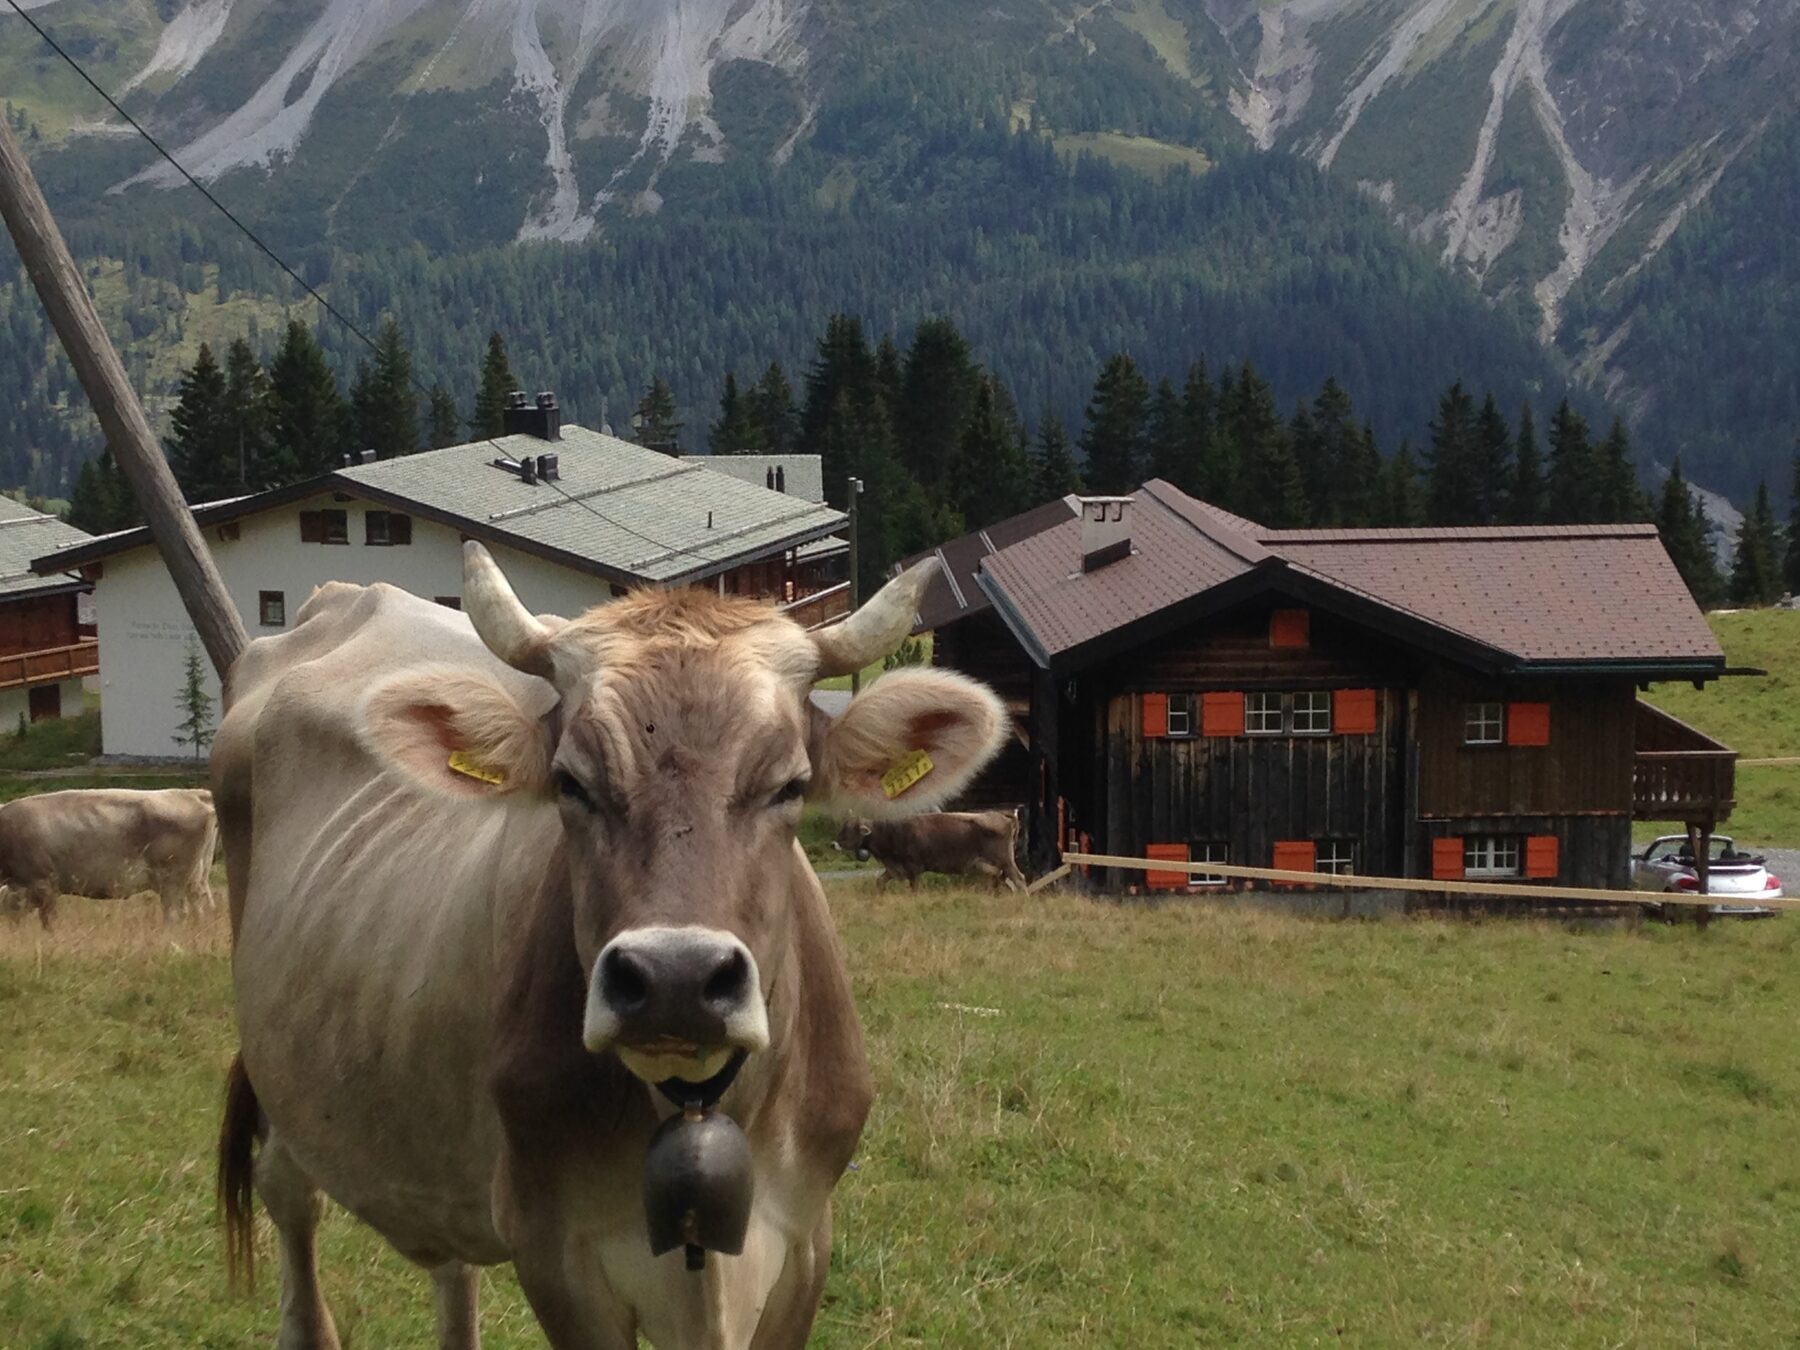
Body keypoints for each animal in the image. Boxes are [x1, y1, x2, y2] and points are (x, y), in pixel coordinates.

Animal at [0, 787, 217, 927]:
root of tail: (191, 793)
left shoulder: (42, 884)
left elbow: (48, 921)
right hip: (196, 878)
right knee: (202, 907)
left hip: (171, 880)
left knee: (176, 914)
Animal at [212, 544, 1005, 1349]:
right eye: (571, 782)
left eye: (790, 785)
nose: (676, 980)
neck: (697, 1103)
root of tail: (342, 596)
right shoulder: (554, 1252)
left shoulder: (803, 1242)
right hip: (284, 1084)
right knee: (290, 1197)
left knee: (452, 1267)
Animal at [835, 810, 1027, 892]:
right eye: (842, 827)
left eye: (849, 830)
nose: (833, 843)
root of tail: (1000, 815)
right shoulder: (894, 868)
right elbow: (880, 881)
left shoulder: (913, 868)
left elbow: (915, 889)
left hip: (1006, 861)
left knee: (1019, 879)